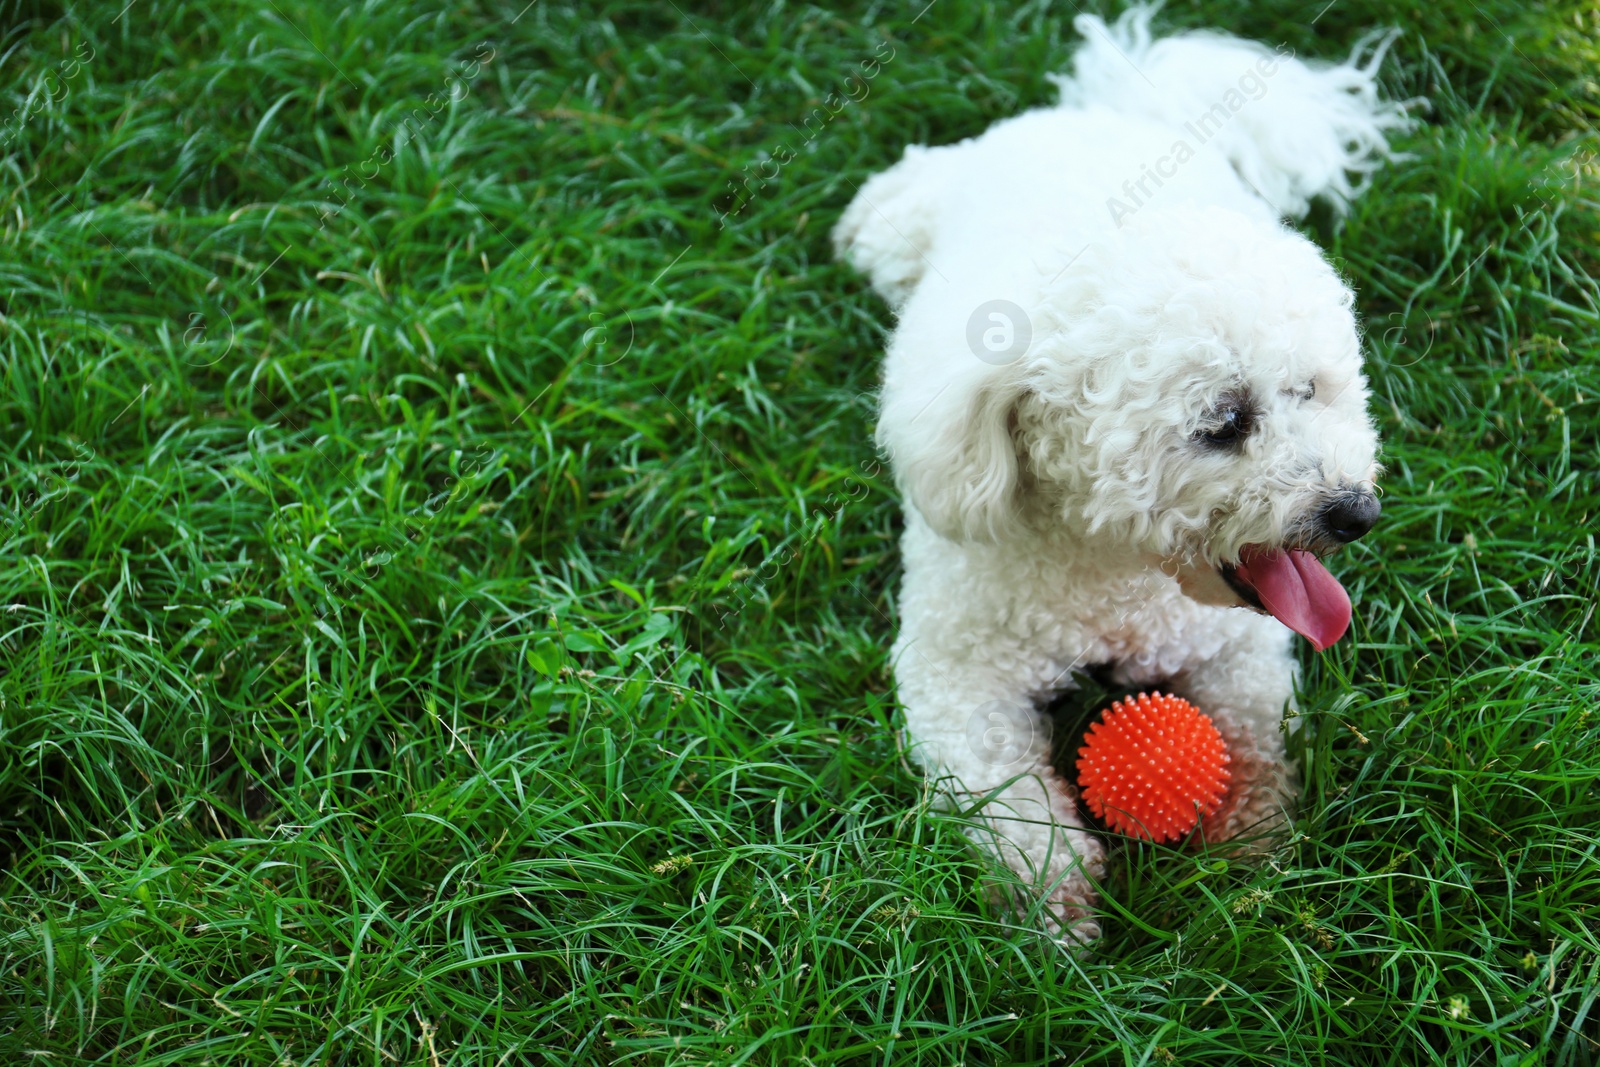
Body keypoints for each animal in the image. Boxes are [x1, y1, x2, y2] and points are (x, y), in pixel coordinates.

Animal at [832, 6, 1408, 940]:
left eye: (1309, 389)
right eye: (1225, 423)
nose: (1355, 511)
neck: (1114, 574)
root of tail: (1116, 110)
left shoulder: (1236, 649)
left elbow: (1258, 739)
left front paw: (1252, 859)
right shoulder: (957, 671)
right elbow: (1005, 793)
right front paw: (1051, 900)